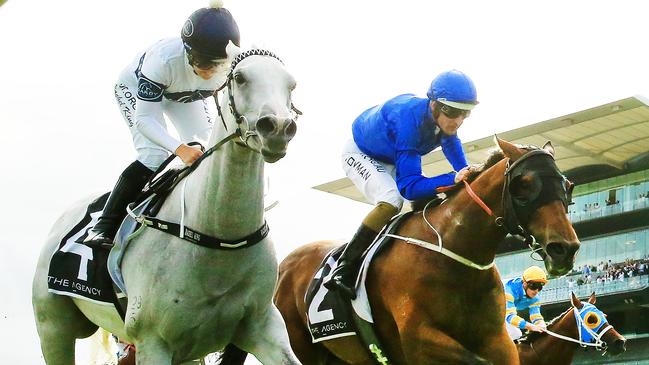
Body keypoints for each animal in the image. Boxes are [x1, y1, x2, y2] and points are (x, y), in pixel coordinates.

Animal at [270, 137, 580, 364]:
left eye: (568, 185)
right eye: (523, 184)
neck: (456, 255)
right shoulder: (417, 340)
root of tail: (284, 265)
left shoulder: (497, 340)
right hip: (297, 346)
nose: (564, 249)